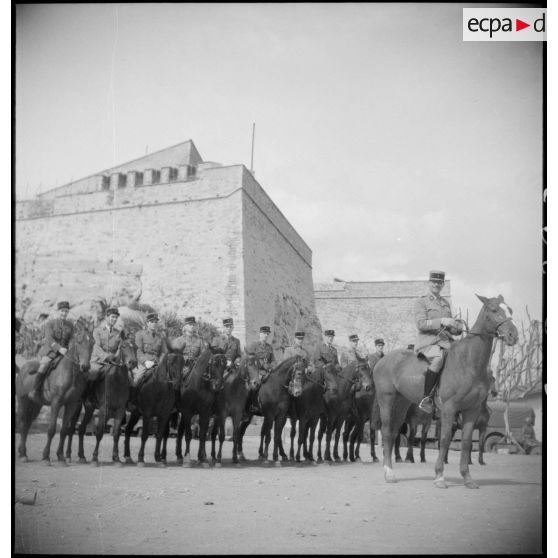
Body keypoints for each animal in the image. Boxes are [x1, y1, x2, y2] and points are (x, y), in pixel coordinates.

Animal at [15, 320, 94, 468]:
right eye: (79, 341)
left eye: (93, 342)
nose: (85, 367)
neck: (71, 373)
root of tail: (23, 368)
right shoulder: (56, 403)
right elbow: (51, 430)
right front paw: (46, 457)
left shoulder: (71, 405)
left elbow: (63, 431)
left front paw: (61, 457)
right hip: (23, 402)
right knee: (22, 424)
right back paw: (22, 455)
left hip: (36, 405)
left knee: (27, 426)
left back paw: (23, 453)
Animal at [374, 296, 524, 488]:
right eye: (494, 310)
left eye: (510, 310)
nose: (513, 335)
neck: (469, 363)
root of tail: (383, 359)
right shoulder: (449, 409)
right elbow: (444, 440)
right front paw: (439, 476)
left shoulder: (471, 410)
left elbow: (467, 442)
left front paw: (467, 478)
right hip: (386, 401)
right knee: (386, 432)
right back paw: (389, 473)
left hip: (401, 404)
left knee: (393, 433)